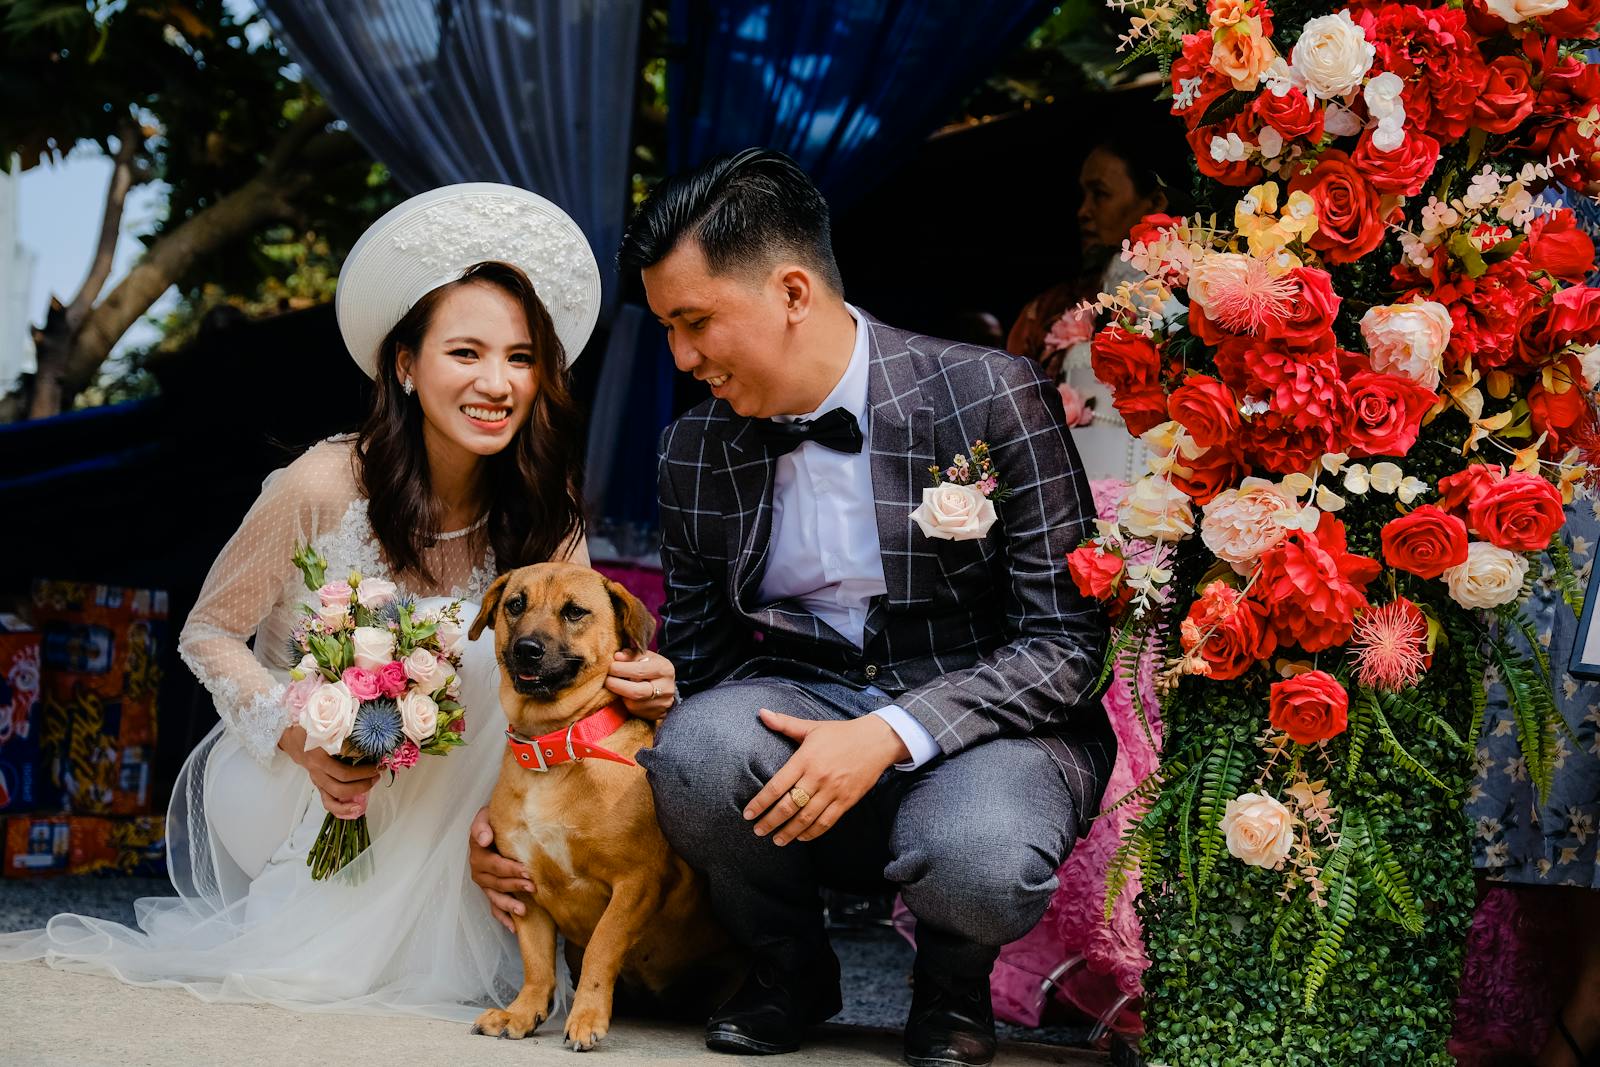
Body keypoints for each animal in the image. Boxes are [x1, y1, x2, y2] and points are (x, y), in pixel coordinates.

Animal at [464, 563, 736, 1049]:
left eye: (575, 612)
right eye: (515, 604)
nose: (526, 649)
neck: (554, 749)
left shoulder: (636, 883)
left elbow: (602, 947)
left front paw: (587, 1016)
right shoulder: (524, 888)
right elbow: (536, 963)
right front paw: (523, 1013)